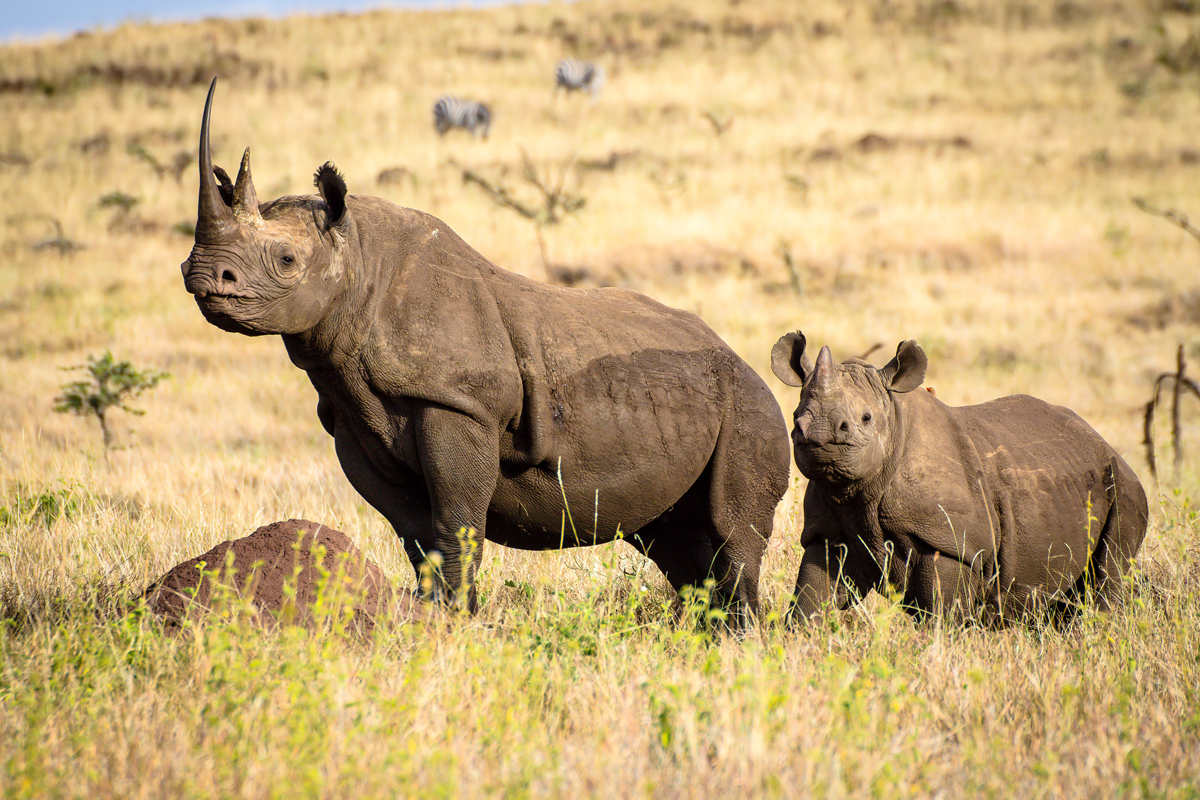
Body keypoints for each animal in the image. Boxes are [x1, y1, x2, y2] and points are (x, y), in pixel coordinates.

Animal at [180, 81, 796, 623]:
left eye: (286, 261)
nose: (202, 275)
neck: (357, 264)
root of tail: (740, 358)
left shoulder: (460, 404)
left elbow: (456, 524)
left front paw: (457, 621)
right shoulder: (351, 421)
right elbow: (417, 535)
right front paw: (432, 615)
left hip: (748, 402)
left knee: (732, 532)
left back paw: (742, 637)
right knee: (675, 541)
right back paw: (714, 635)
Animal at [772, 331, 1147, 623]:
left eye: (865, 418)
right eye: (795, 415)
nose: (817, 432)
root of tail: (1103, 442)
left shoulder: (952, 542)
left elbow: (941, 613)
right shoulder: (826, 532)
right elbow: (810, 599)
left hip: (1123, 486)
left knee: (1104, 579)